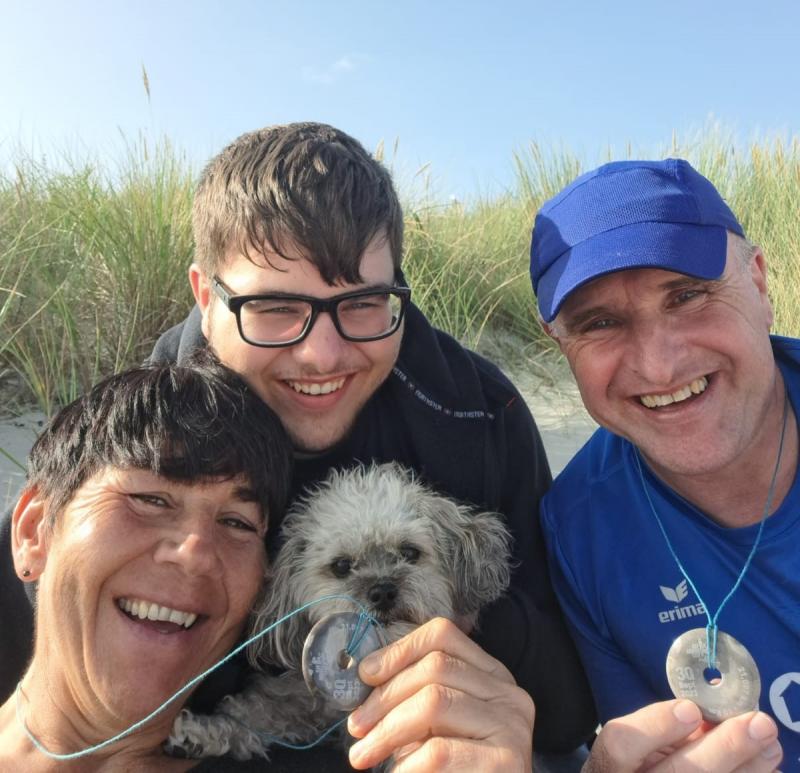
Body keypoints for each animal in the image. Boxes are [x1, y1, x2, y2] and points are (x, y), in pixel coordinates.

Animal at [166, 462, 513, 762]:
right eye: (342, 566)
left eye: (409, 552)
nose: (382, 590)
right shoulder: (301, 699)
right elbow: (255, 713)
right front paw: (200, 734)